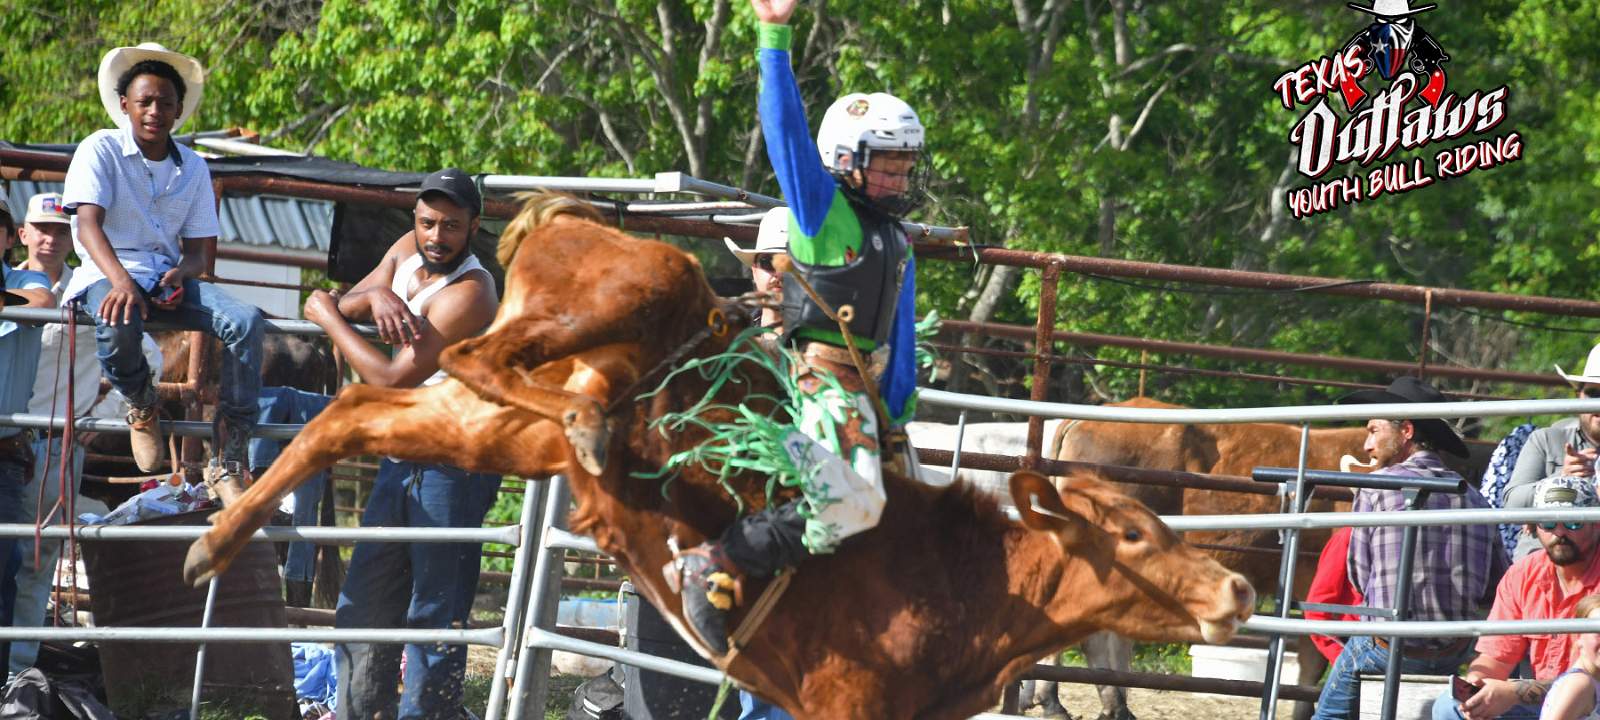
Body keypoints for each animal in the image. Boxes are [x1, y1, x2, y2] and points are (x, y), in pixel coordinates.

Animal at [180, 194, 1255, 720]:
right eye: (1129, 533)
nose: (1237, 592)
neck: (967, 578)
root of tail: (566, 220)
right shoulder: (843, 706)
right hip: (628, 294)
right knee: (471, 360)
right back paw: (597, 427)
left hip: (490, 426)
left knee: (355, 412)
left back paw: (212, 544)